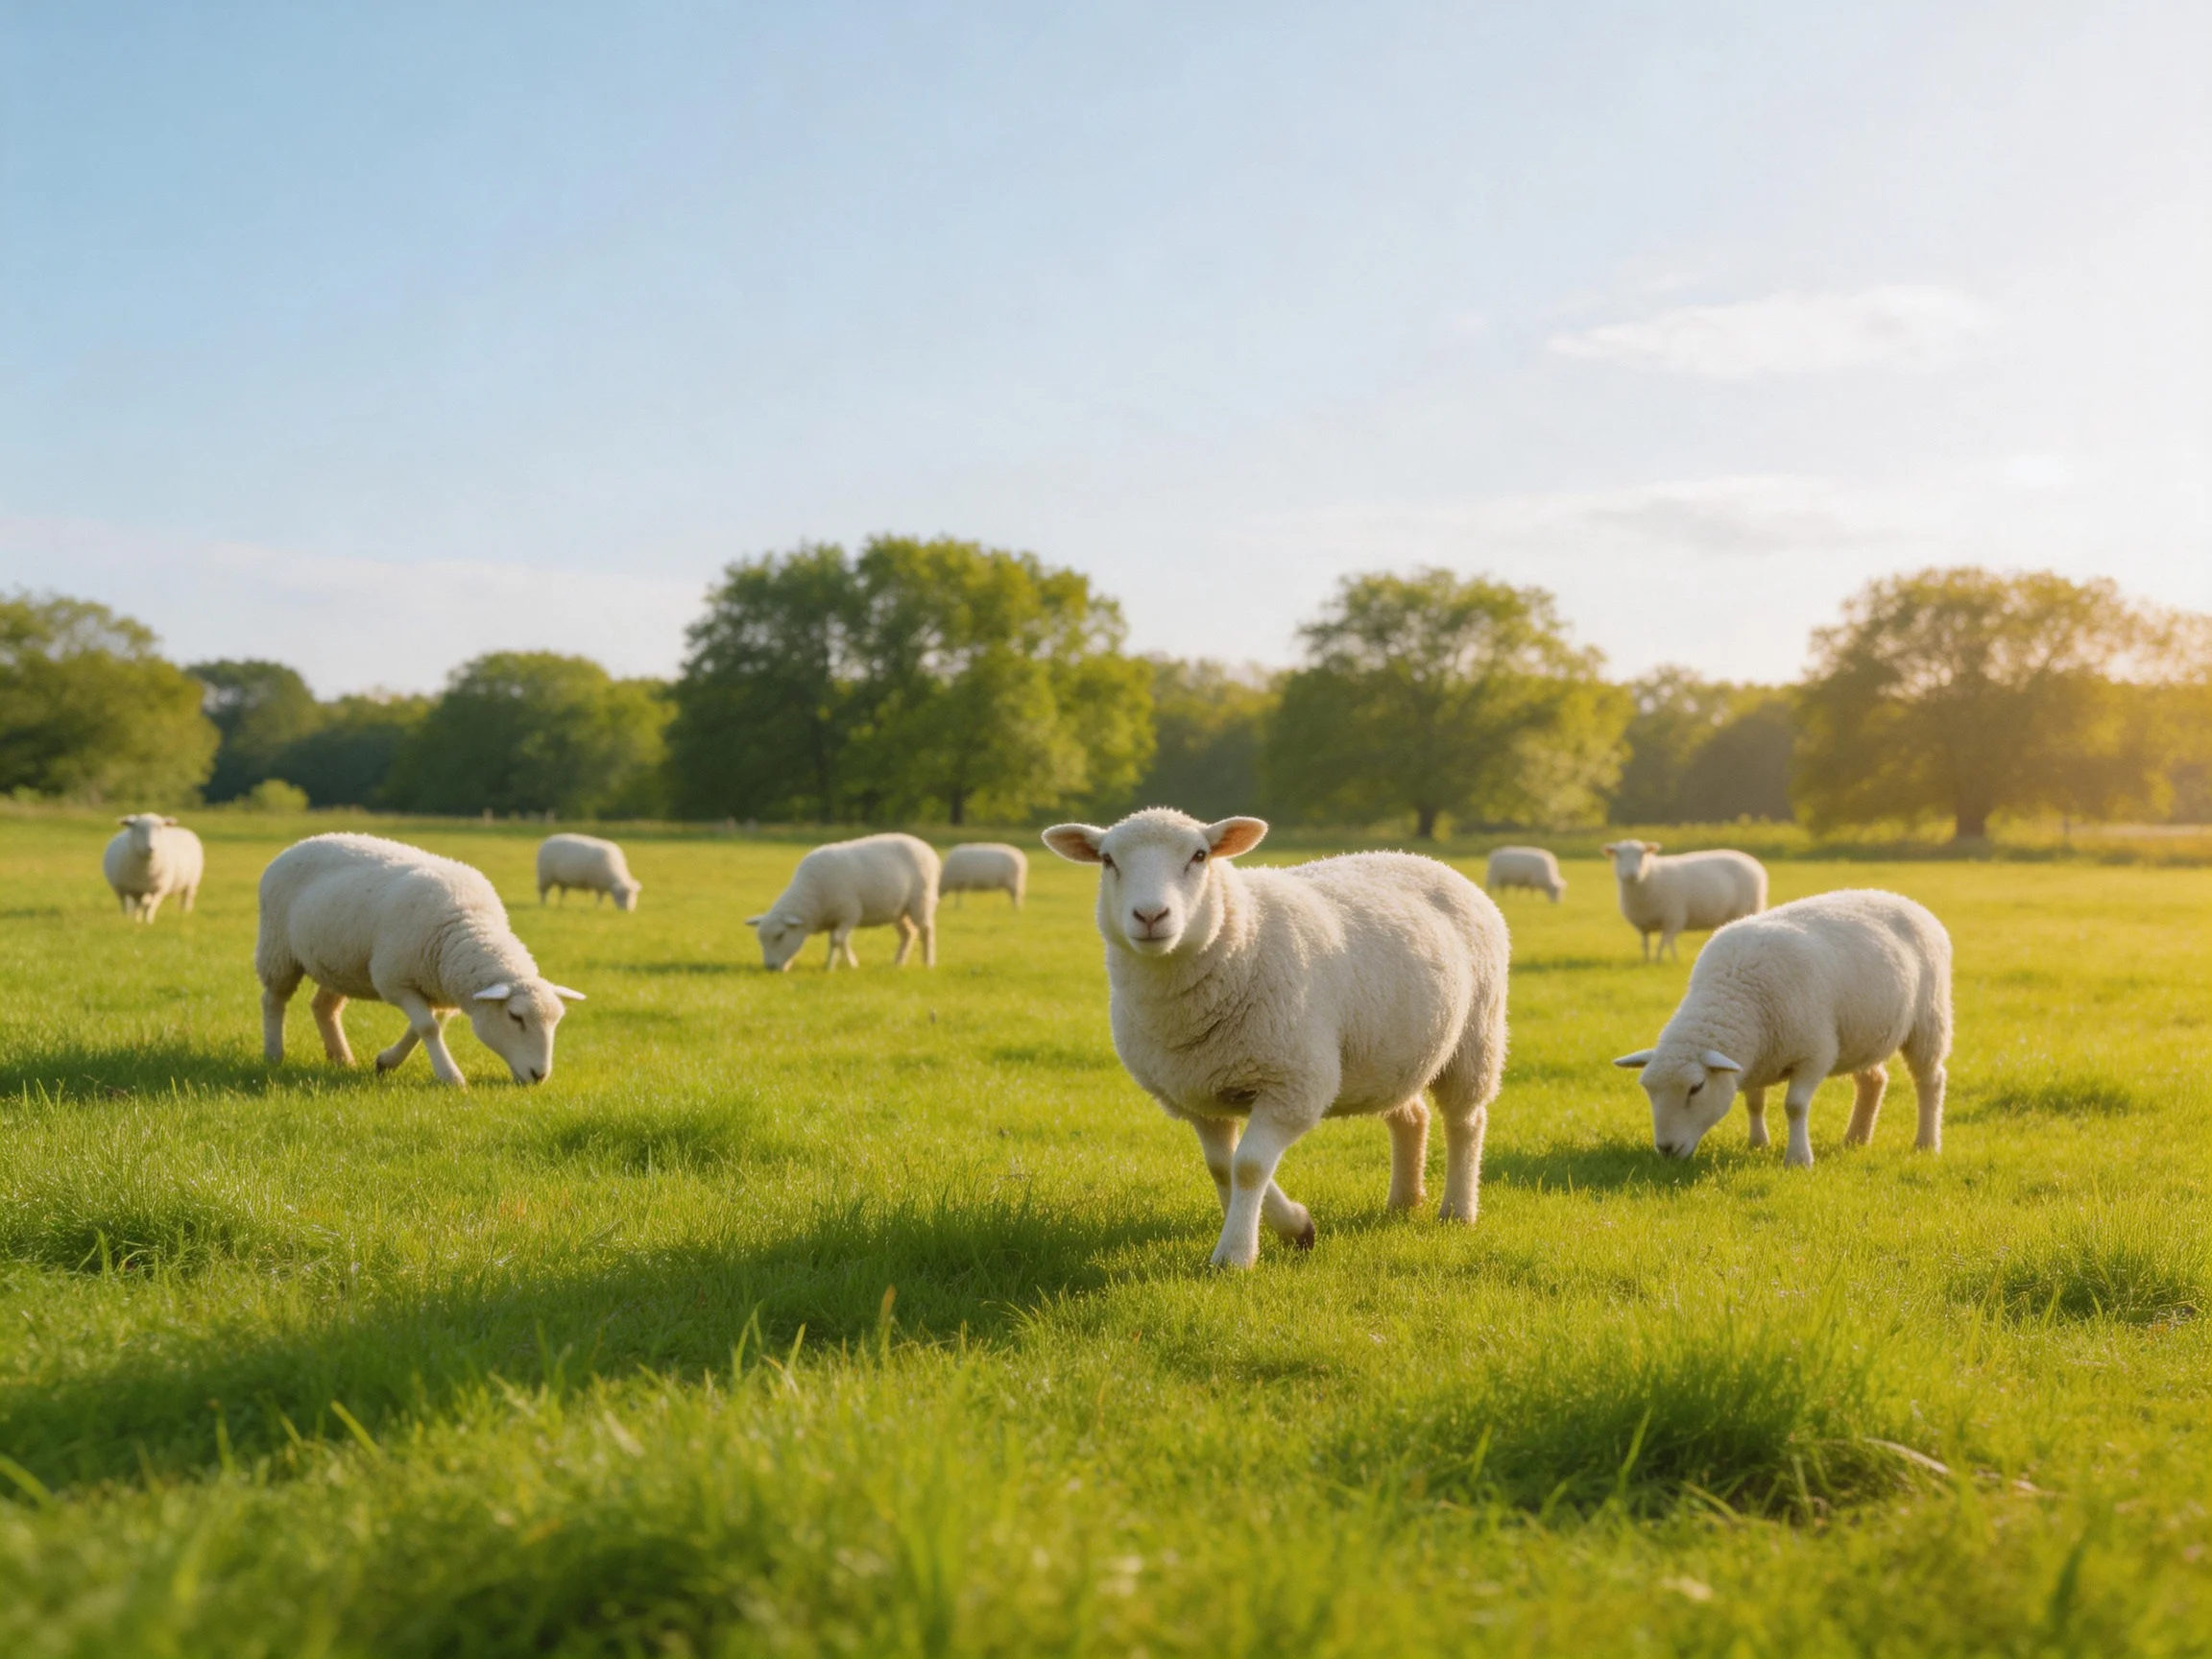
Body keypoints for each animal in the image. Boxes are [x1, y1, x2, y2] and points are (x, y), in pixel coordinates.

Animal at [256, 833, 584, 1087]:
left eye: (557, 1021)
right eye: (515, 1017)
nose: (539, 1076)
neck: (466, 925)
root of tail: (300, 844)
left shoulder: (436, 987)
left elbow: (422, 1026)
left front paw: (386, 1062)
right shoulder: (393, 981)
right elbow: (427, 1027)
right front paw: (450, 1077)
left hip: (340, 963)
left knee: (324, 1007)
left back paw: (341, 1058)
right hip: (278, 949)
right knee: (274, 1000)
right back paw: (274, 1054)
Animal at [748, 832, 941, 971]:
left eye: (780, 935)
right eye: (760, 939)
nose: (770, 967)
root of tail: (926, 847)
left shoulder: (849, 912)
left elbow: (837, 940)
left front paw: (833, 967)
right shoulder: (836, 917)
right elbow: (840, 941)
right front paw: (844, 963)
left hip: (921, 901)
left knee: (926, 931)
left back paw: (928, 963)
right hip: (898, 910)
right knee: (908, 933)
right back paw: (898, 963)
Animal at [1043, 808, 1510, 1270]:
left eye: (1199, 855)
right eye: (1107, 860)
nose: (1151, 916)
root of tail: (1421, 859)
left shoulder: (1292, 1085)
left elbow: (1248, 1166)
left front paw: (1237, 1254)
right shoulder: (1196, 1094)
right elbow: (1221, 1166)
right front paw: (1292, 1227)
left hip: (1476, 1037)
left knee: (1466, 1121)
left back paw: (1458, 1211)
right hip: (1390, 1052)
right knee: (1411, 1117)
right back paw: (1404, 1201)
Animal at [1599, 840, 1767, 961]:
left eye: (1642, 854)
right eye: (1618, 855)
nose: (1632, 874)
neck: (1650, 876)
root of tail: (1753, 862)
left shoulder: (1674, 917)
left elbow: (1664, 942)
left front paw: (1660, 960)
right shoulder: (1643, 924)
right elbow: (1646, 944)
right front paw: (1648, 960)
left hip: (1748, 907)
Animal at [1613, 888, 1951, 1168]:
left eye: (1696, 1087)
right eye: (1648, 1089)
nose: (1666, 1149)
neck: (1735, 992)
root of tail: (1906, 901)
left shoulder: (1814, 1054)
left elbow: (1795, 1107)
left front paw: (1799, 1159)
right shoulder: (1754, 1058)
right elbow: (1754, 1102)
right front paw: (1757, 1143)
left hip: (1928, 1021)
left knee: (1930, 1080)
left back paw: (1926, 1143)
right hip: (1862, 1034)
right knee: (1874, 1081)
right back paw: (1855, 1139)